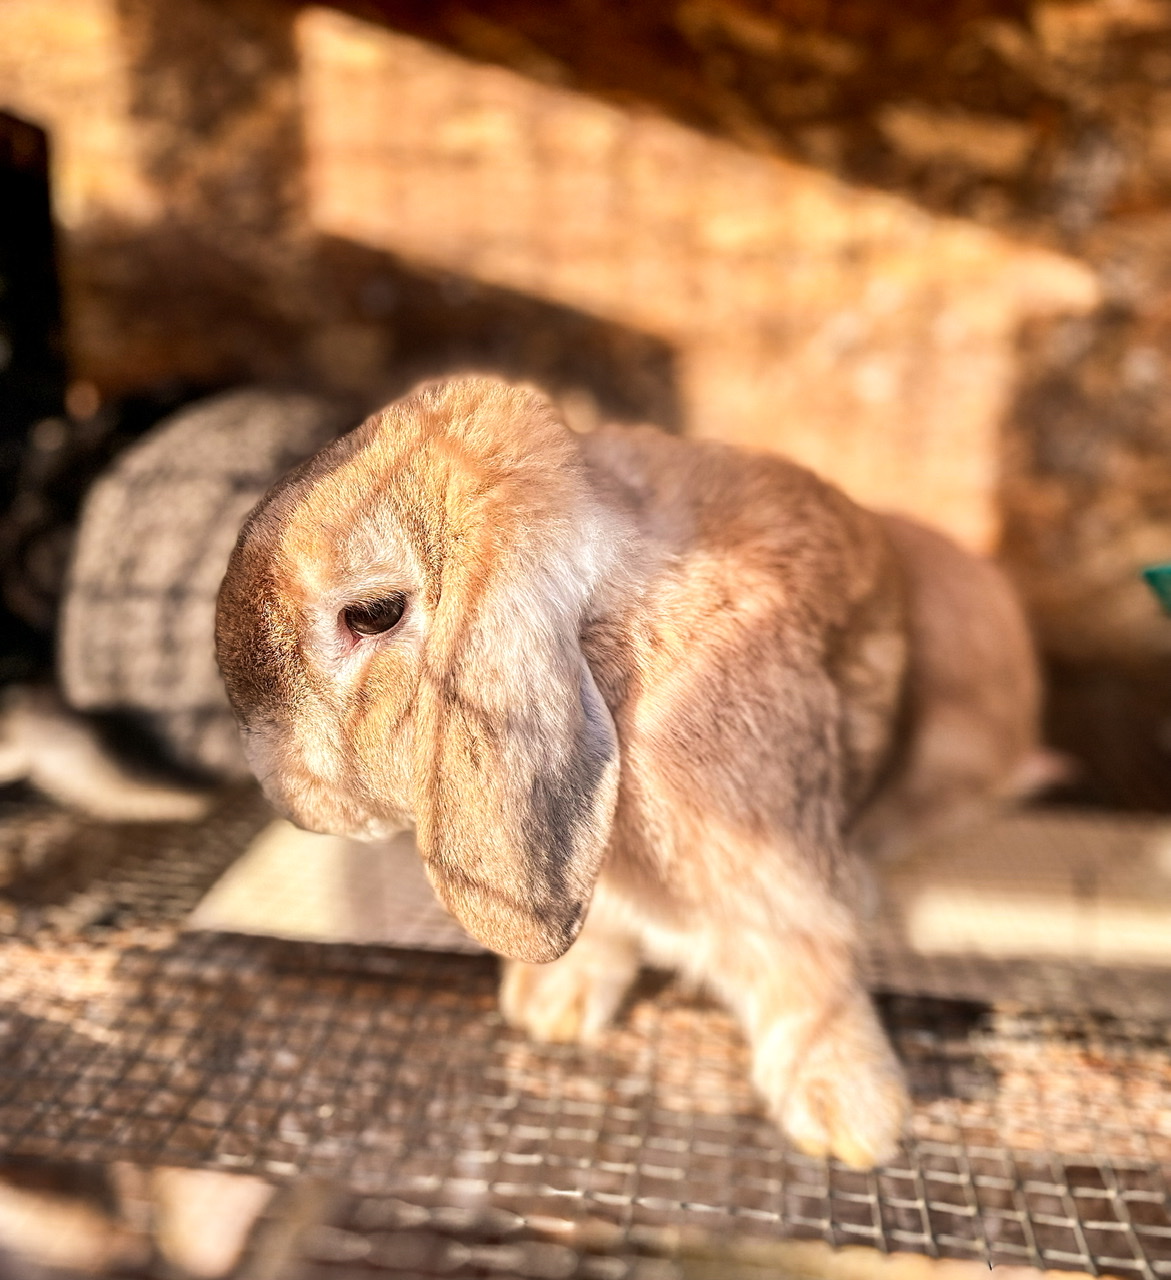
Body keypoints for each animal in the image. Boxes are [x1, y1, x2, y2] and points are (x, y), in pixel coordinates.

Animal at [215, 375, 1044, 1169]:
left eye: (374, 614)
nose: (285, 791)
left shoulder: (774, 875)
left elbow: (808, 969)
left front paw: (850, 1116)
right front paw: (551, 1008)